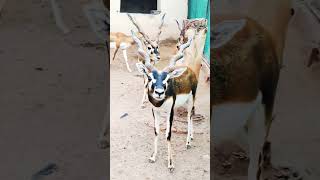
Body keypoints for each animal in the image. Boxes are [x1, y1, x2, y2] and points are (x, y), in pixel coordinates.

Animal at [132, 17, 208, 172]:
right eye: (150, 78)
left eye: (167, 79)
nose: (159, 92)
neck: (160, 103)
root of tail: (189, 69)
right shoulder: (155, 111)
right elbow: (156, 131)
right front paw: (153, 157)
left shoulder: (170, 112)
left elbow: (168, 134)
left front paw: (171, 163)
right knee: (190, 116)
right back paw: (191, 137)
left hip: (192, 99)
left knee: (189, 116)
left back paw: (188, 142)